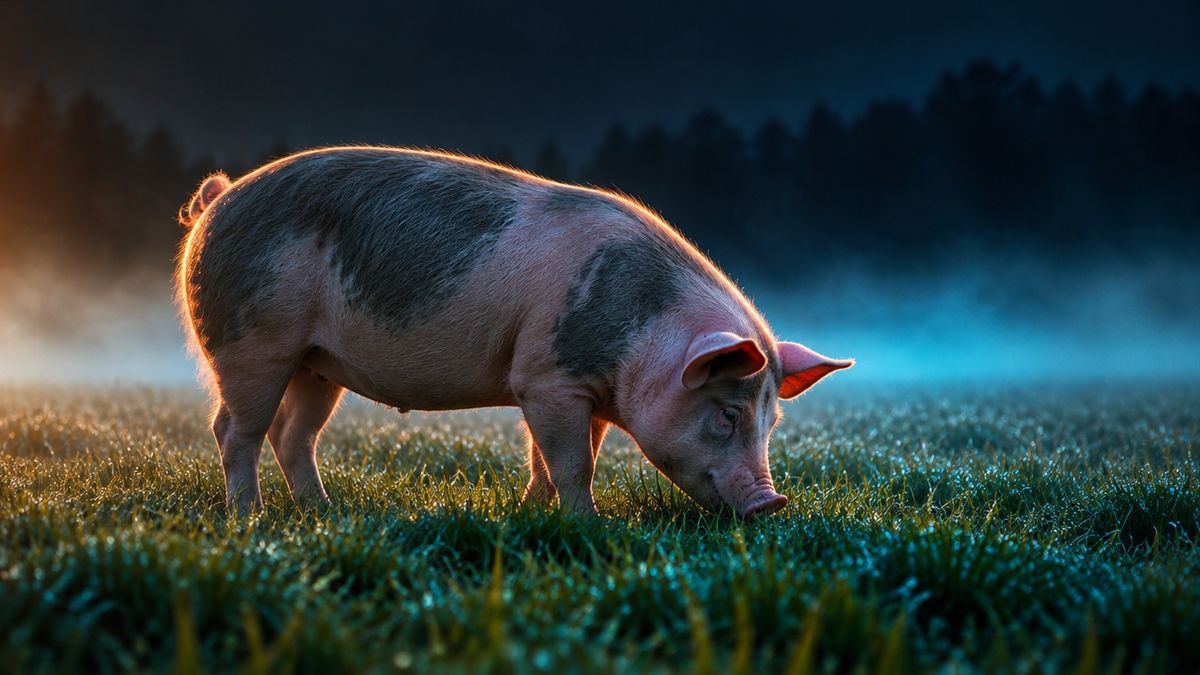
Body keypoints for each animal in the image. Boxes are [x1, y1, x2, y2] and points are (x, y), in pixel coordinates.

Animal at [177, 147, 852, 518]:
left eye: (771, 420)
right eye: (728, 413)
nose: (773, 502)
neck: (642, 340)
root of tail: (219, 198)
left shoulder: (572, 388)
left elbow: (549, 463)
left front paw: (532, 517)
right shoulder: (546, 377)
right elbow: (573, 463)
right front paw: (592, 526)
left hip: (315, 362)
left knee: (294, 434)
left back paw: (323, 511)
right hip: (252, 344)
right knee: (234, 430)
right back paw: (251, 519)